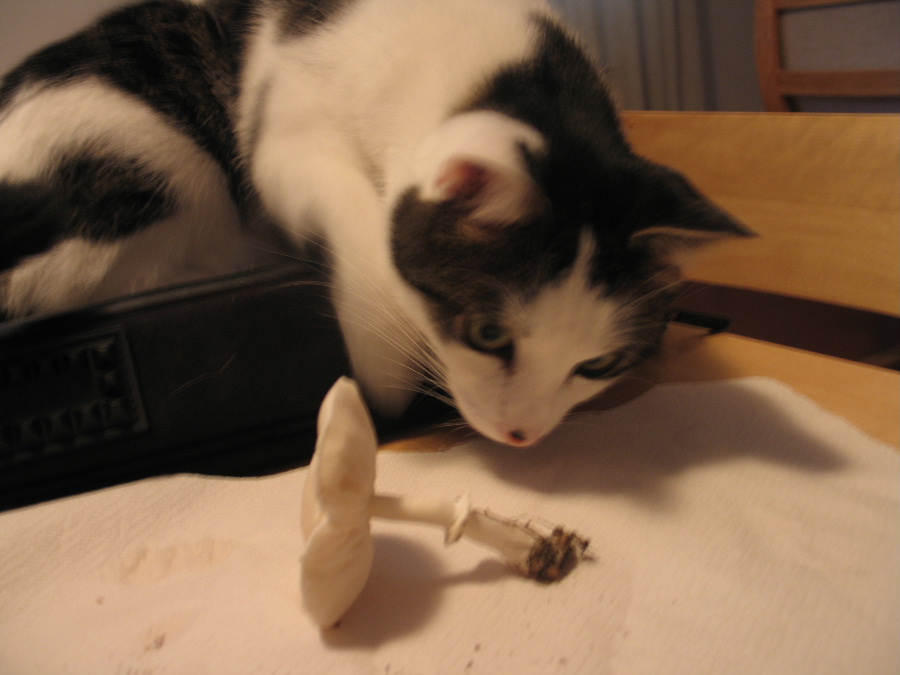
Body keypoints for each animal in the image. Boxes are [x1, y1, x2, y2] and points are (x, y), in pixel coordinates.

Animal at [0, 0, 753, 447]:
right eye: (488, 335)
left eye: (597, 364)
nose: (522, 434)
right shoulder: (287, 134)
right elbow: (365, 240)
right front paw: (385, 375)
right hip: (150, 157)